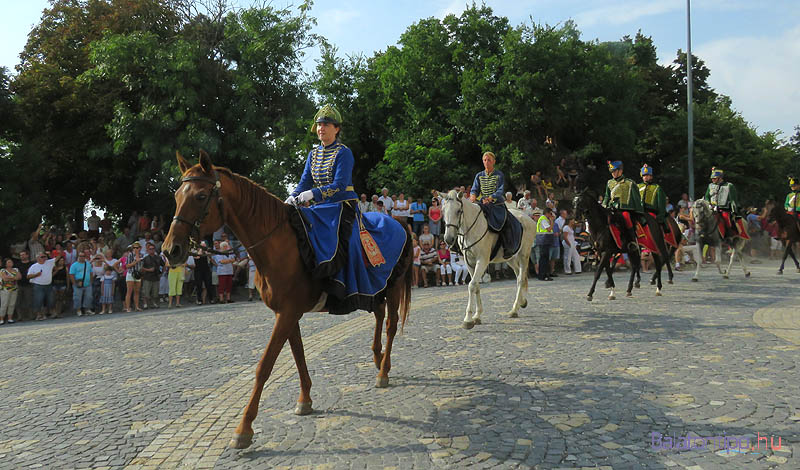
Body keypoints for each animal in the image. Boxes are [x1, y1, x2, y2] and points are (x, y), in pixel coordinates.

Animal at [161, 152, 412, 450]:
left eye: (200, 196)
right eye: (176, 195)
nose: (170, 250)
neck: (280, 244)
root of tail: (399, 221)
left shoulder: (288, 313)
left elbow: (265, 366)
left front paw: (244, 428)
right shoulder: (288, 313)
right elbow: (298, 355)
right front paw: (305, 400)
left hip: (393, 285)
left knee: (391, 325)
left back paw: (383, 371)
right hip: (375, 287)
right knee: (379, 316)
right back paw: (378, 357)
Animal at [440, 189, 536, 328]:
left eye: (458, 211)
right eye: (443, 211)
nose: (448, 239)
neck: (472, 229)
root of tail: (529, 219)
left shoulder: (482, 261)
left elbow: (471, 285)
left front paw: (468, 319)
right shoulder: (470, 262)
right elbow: (476, 285)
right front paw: (477, 316)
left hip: (524, 255)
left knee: (521, 279)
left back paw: (514, 309)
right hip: (510, 258)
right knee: (519, 275)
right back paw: (521, 302)